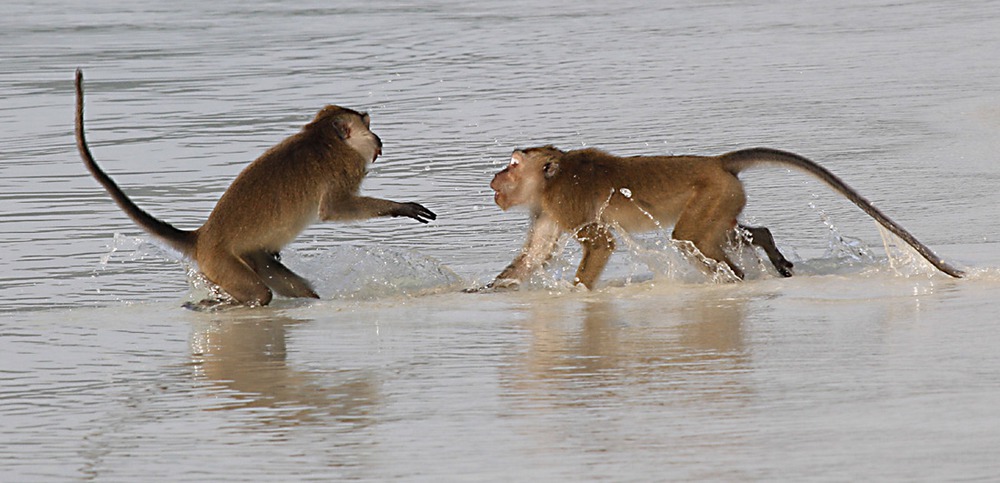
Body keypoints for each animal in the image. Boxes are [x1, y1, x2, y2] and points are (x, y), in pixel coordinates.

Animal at [76, 69, 436, 306]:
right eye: (367, 125)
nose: (378, 138)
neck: (322, 137)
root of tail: (201, 237)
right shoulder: (344, 168)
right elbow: (334, 209)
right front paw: (400, 207)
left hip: (248, 258)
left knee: (287, 283)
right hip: (222, 263)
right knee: (259, 294)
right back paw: (223, 303)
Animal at [480, 145, 964, 292]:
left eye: (514, 163)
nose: (496, 176)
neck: (551, 180)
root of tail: (717, 162)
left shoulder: (566, 201)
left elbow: (601, 243)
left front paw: (576, 294)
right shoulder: (547, 209)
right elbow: (532, 258)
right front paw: (482, 291)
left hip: (713, 194)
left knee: (689, 238)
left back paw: (735, 278)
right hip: (725, 197)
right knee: (721, 234)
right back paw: (765, 249)